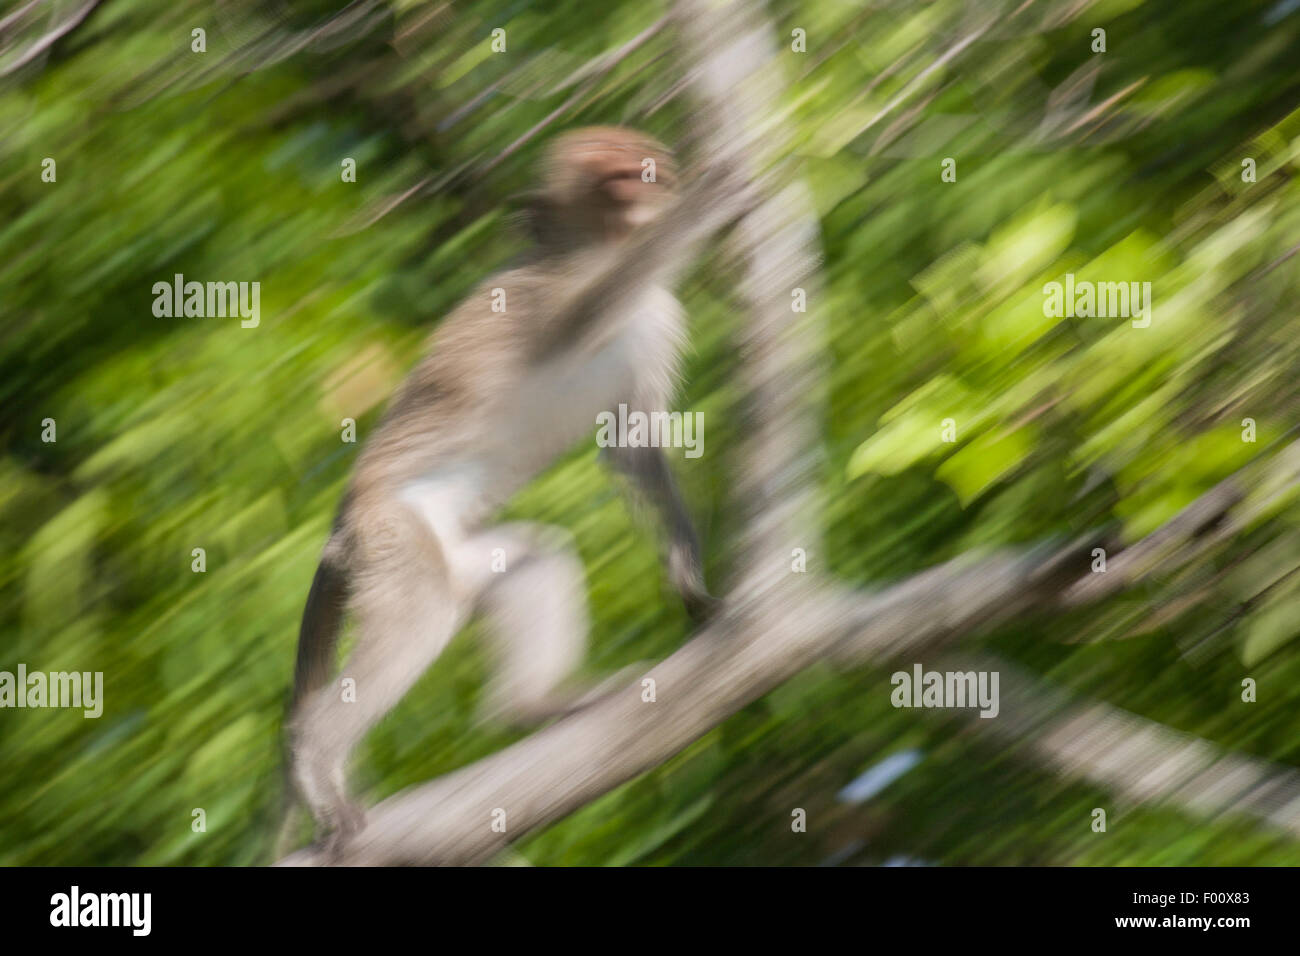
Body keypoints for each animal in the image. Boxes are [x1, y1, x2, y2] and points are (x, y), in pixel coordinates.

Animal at [283, 125, 754, 853]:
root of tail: (341, 524)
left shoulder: (658, 317)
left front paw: (686, 573)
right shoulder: (538, 294)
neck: (594, 246)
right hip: (391, 536)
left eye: (638, 159)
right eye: (610, 166)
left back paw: (535, 703)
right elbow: (581, 325)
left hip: (454, 555)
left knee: (533, 557)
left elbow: (631, 445)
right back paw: (314, 756)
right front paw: (706, 199)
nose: (639, 180)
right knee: (418, 618)